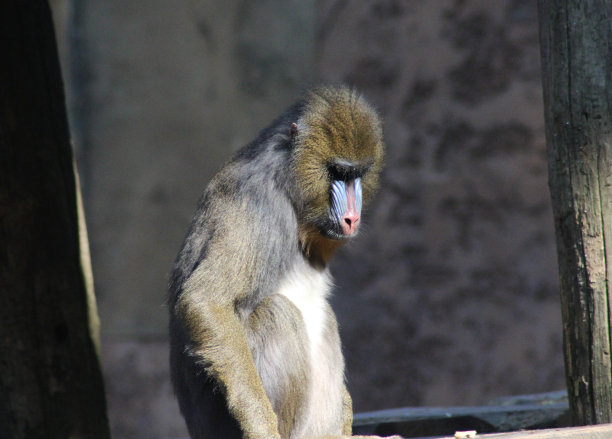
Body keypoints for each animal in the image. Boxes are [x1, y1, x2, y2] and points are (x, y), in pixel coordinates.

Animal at [167, 86, 400, 439]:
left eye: (357, 174)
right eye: (337, 172)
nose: (351, 218)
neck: (290, 187)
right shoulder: (255, 201)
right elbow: (205, 300)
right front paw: (260, 426)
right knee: (277, 312)